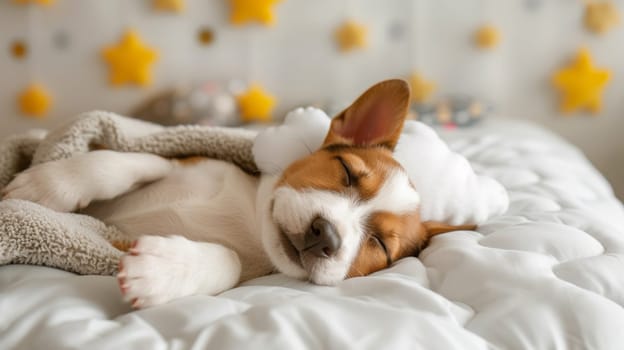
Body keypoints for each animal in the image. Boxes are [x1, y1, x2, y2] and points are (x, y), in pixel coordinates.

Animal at [3, 78, 472, 306]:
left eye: (380, 246)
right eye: (345, 172)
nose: (327, 235)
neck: (249, 221)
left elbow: (226, 261)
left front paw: (163, 270)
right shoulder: (180, 158)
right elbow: (132, 161)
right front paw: (47, 184)